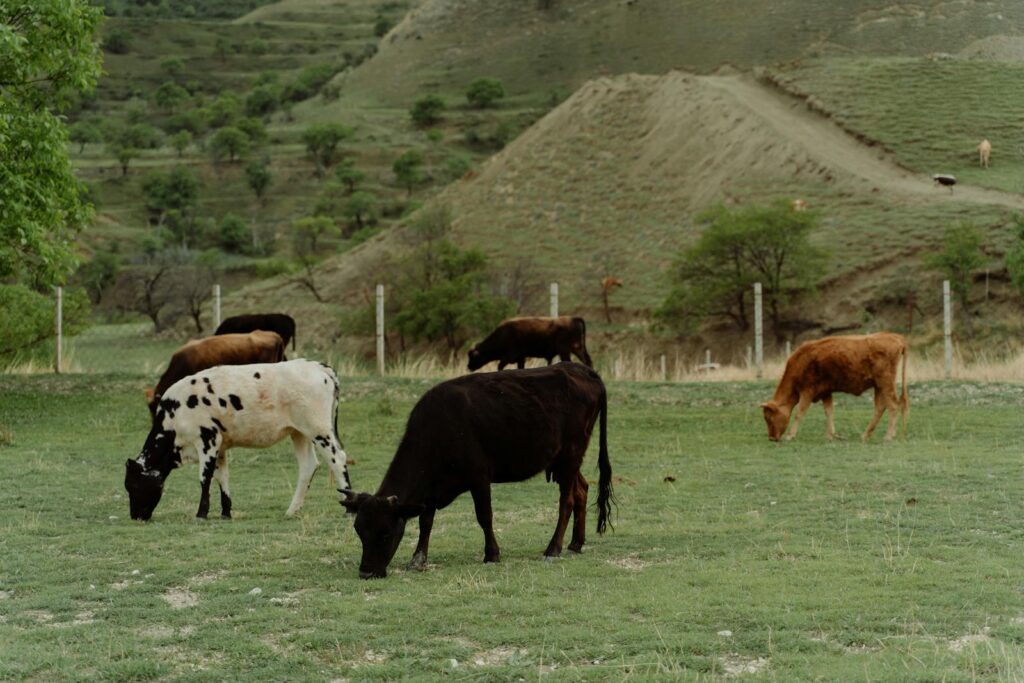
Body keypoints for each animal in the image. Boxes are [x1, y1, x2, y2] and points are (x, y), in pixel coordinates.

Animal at [125, 359, 351, 521]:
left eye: (133, 486)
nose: (135, 517)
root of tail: (316, 366)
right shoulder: (220, 446)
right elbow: (222, 477)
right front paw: (225, 512)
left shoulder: (207, 440)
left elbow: (205, 478)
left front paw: (201, 514)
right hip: (299, 433)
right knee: (308, 466)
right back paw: (291, 510)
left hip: (319, 430)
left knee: (338, 459)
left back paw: (348, 507)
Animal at [340, 363, 613, 579]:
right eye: (359, 531)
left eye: (385, 533)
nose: (366, 572)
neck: (439, 428)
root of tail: (583, 370)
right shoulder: (430, 490)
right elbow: (426, 522)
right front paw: (418, 559)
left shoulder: (480, 478)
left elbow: (484, 516)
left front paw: (492, 554)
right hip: (564, 461)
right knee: (582, 490)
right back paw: (576, 543)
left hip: (570, 454)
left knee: (566, 500)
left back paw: (553, 548)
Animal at [761, 333, 909, 443]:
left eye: (769, 417)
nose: (771, 438)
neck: (801, 361)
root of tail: (895, 337)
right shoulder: (825, 392)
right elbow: (829, 411)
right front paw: (830, 435)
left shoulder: (807, 391)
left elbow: (799, 413)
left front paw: (790, 435)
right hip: (878, 386)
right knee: (880, 408)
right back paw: (866, 435)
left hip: (885, 384)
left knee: (893, 406)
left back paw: (888, 436)